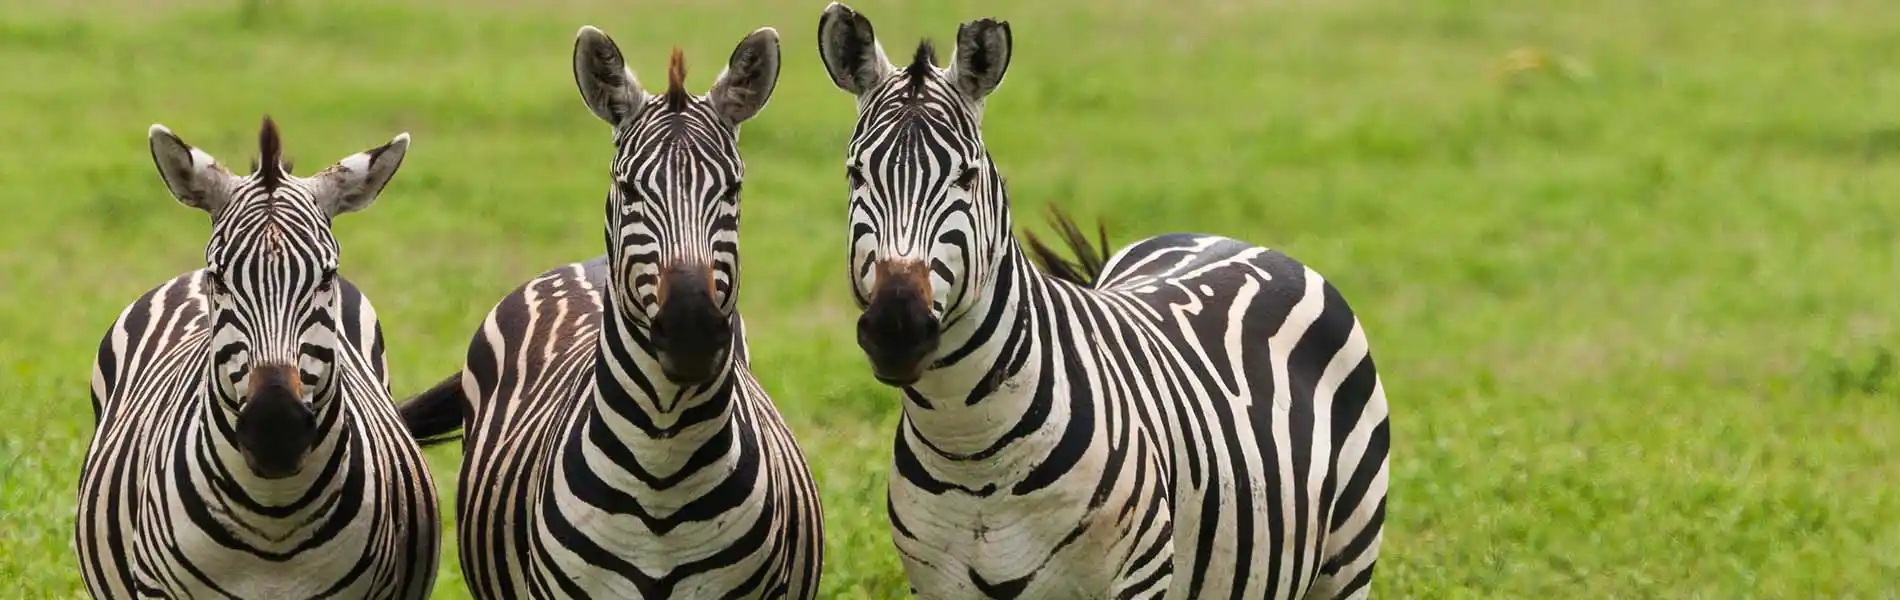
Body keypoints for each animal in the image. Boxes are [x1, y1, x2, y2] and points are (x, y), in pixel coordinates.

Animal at [817, 3, 1398, 596]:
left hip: (1346, 561)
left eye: (967, 176)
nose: (897, 327)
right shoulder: (936, 583)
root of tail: (1237, 241)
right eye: (855, 173)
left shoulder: (1138, 578)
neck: (972, 450)